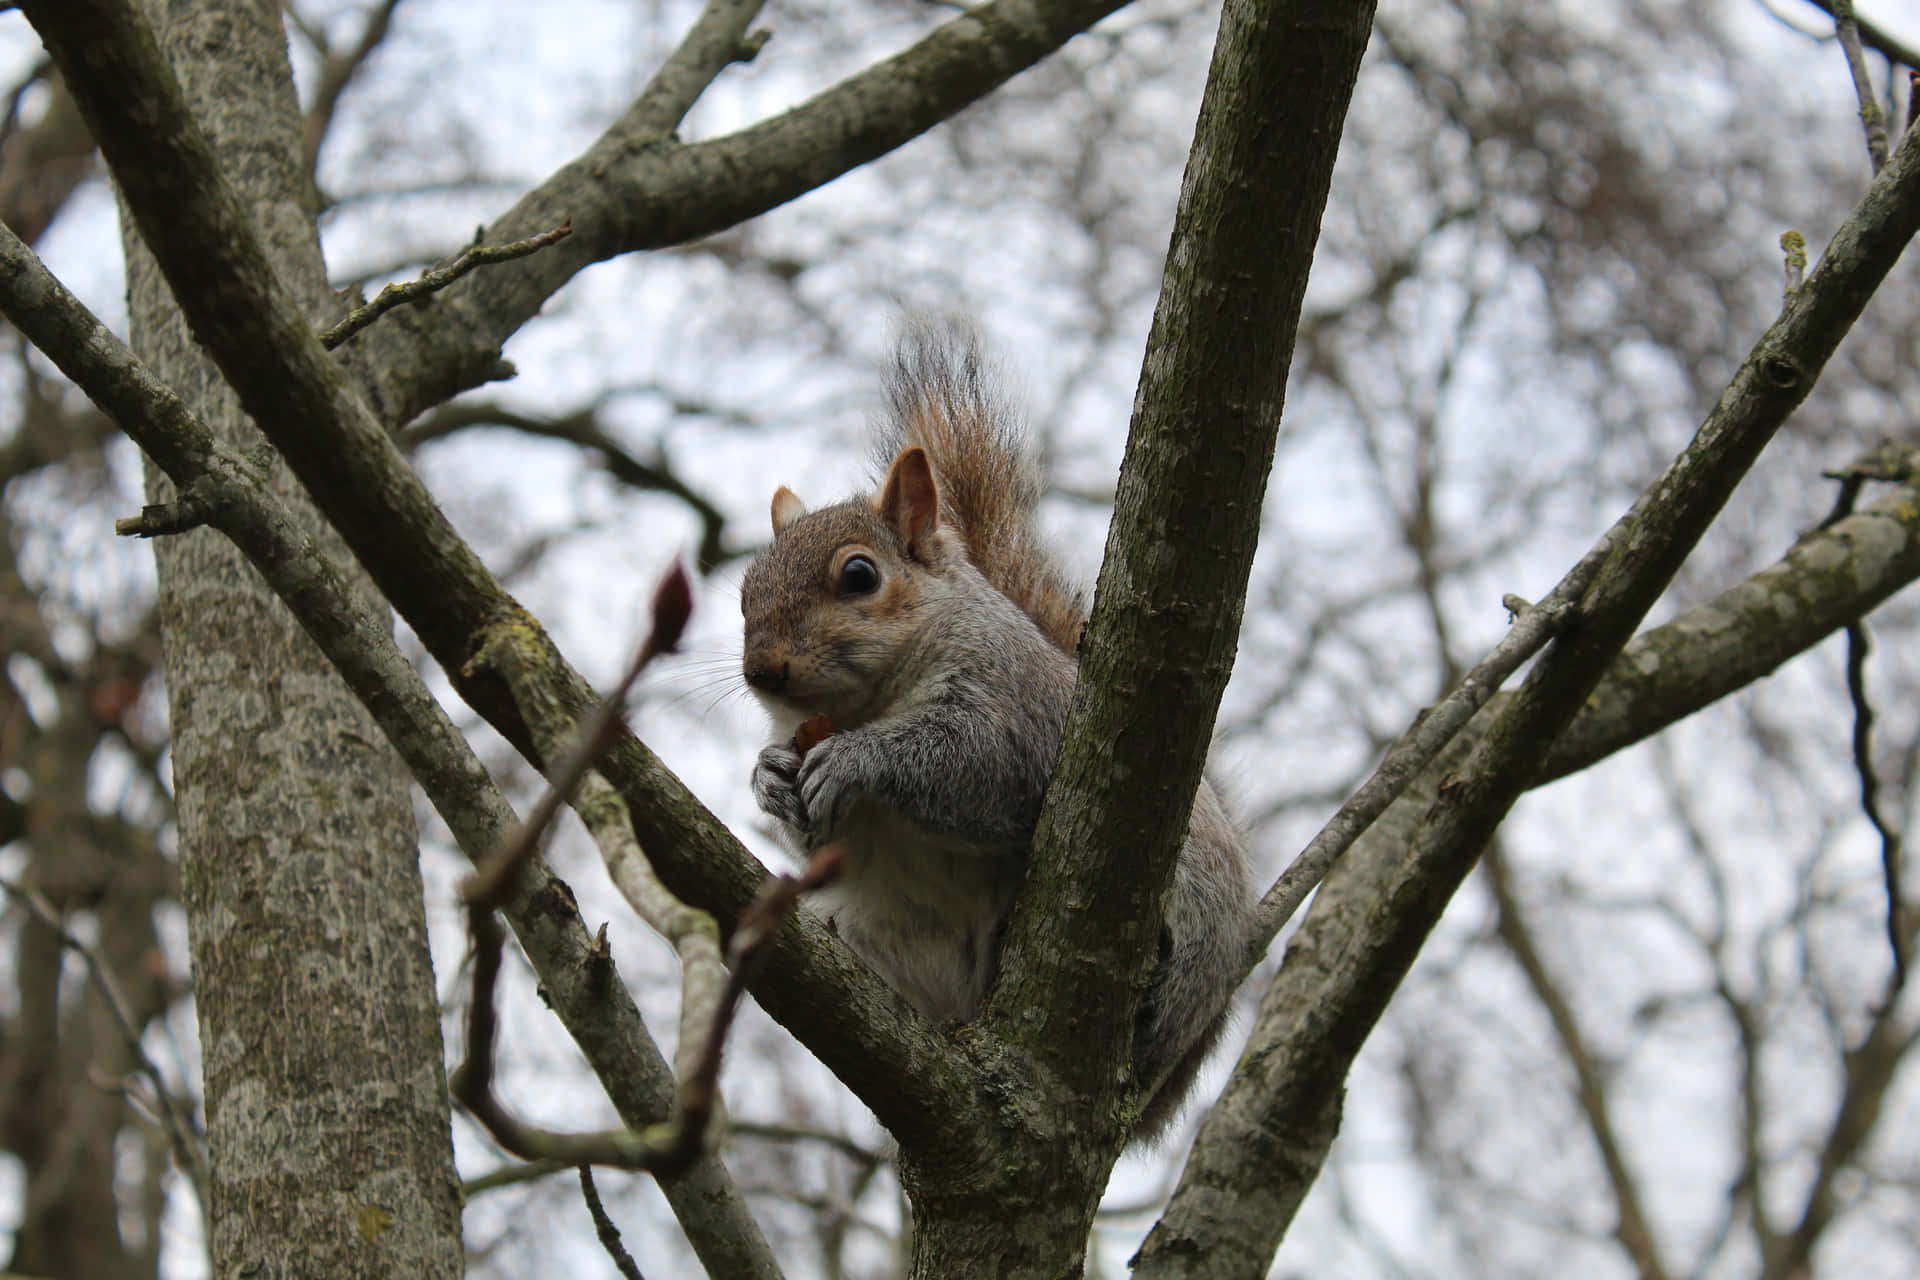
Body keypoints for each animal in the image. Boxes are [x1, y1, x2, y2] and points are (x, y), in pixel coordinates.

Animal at [741, 322, 1251, 1143]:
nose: (761, 671)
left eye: (860, 576)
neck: (869, 701)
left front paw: (855, 760)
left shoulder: (1020, 714)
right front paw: (768, 778)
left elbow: (973, 766)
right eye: (745, 590)